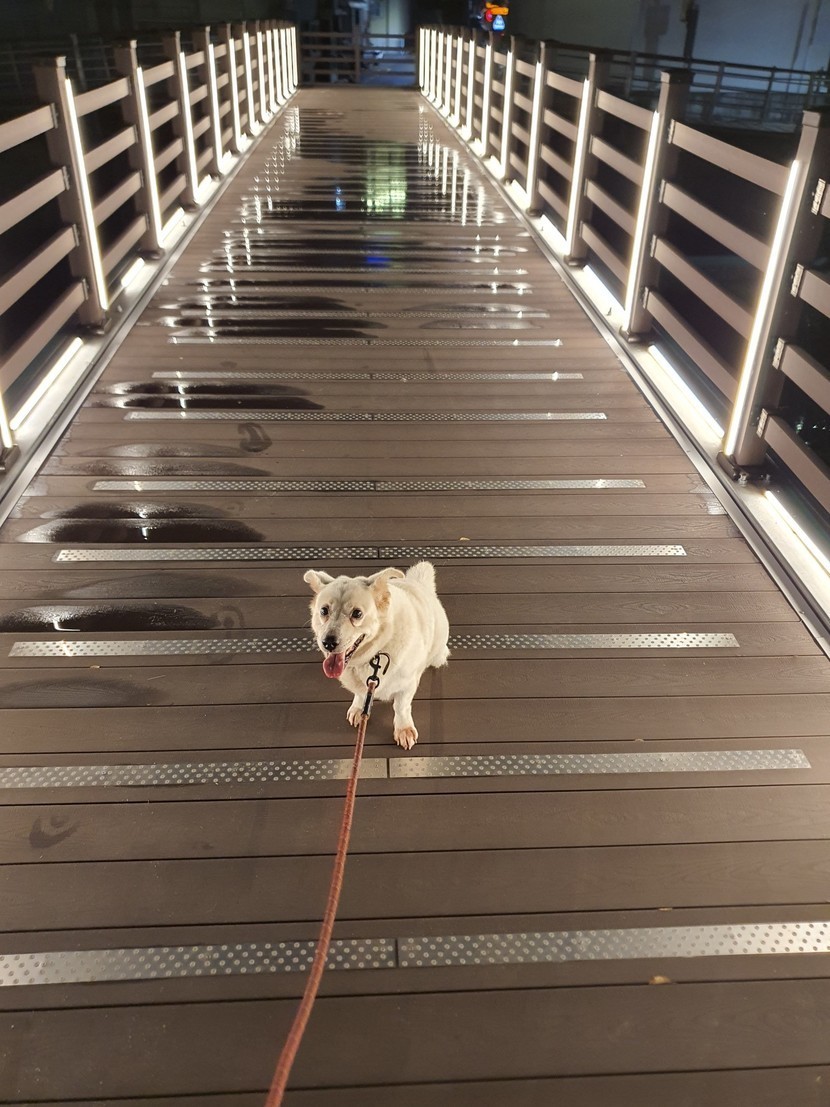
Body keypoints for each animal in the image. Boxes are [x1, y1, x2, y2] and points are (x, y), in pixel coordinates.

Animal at [303, 561, 449, 750]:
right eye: (323, 611)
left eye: (357, 613)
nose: (328, 642)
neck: (374, 655)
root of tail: (419, 584)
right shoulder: (362, 686)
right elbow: (360, 694)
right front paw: (359, 709)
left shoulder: (407, 685)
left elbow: (401, 707)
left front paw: (403, 729)